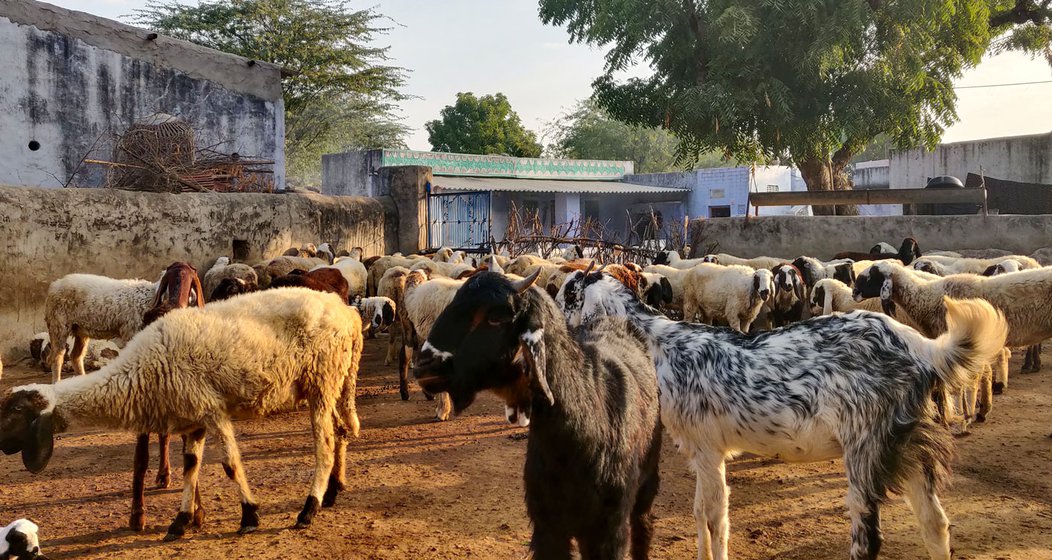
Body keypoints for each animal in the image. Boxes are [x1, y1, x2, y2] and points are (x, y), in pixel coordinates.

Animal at [0, 286, 361, 538]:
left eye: (15, 411)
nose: (2, 446)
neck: (140, 370)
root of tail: (347, 312)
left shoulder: (213, 410)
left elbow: (230, 464)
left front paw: (249, 515)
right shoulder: (194, 417)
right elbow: (191, 466)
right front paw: (181, 521)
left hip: (322, 381)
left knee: (325, 445)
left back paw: (308, 510)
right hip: (335, 382)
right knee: (342, 431)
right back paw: (331, 492)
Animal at [414, 271, 660, 560]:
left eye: (495, 317)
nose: (424, 366)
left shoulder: (609, 529)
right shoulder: (547, 526)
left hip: (648, 480)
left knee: (644, 527)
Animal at [559, 267, 1009, 560]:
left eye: (566, 296)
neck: (659, 345)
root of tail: (923, 349)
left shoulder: (706, 447)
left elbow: (715, 518)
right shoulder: (703, 452)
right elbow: (703, 513)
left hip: (864, 450)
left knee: (868, 538)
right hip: (910, 448)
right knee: (937, 525)